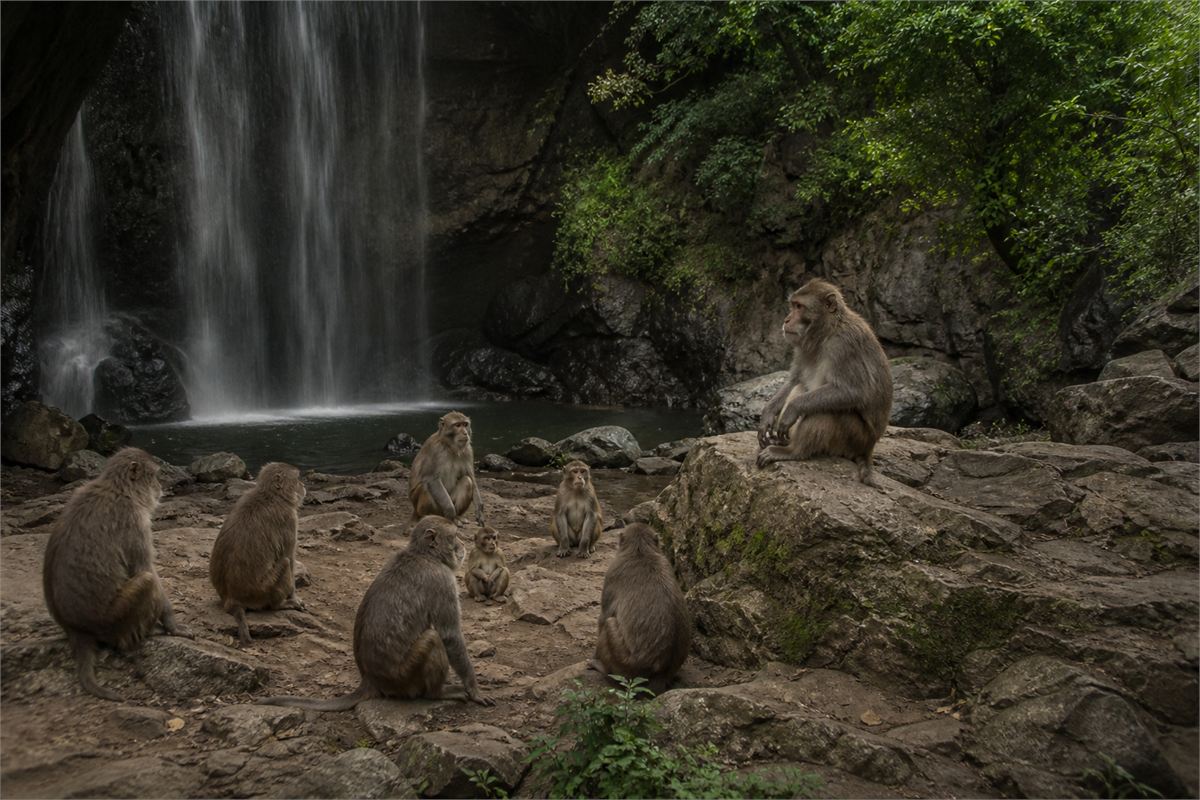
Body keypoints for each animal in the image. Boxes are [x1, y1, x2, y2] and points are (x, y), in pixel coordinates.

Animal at [42, 447, 188, 700]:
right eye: (154, 476)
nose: (160, 488)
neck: (119, 489)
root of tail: (77, 630)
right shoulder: (134, 521)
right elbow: (145, 569)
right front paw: (172, 624)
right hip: (115, 620)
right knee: (147, 582)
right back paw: (145, 635)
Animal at [209, 462, 308, 645]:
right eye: (297, 478)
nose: (303, 485)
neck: (272, 495)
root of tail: (231, 598)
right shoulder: (289, 519)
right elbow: (290, 558)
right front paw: (294, 597)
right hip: (263, 591)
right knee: (284, 562)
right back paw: (280, 605)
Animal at [261, 516, 492, 711]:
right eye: (454, 536)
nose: (462, 545)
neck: (425, 554)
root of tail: (370, 679)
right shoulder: (442, 580)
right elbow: (449, 635)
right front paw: (474, 688)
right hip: (404, 677)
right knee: (433, 638)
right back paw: (437, 693)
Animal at [589, 523, 690, 695]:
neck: (641, 550)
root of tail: (660, 674)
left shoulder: (612, 572)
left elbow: (603, 618)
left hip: (625, 663)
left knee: (609, 623)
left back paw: (603, 668)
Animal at [756, 278, 893, 485]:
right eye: (793, 305)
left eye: (799, 307)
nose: (787, 320)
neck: (827, 331)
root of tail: (869, 448)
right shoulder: (801, 346)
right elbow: (794, 380)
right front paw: (768, 414)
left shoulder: (844, 345)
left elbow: (853, 391)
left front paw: (792, 409)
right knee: (801, 388)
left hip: (855, 439)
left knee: (826, 409)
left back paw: (793, 451)